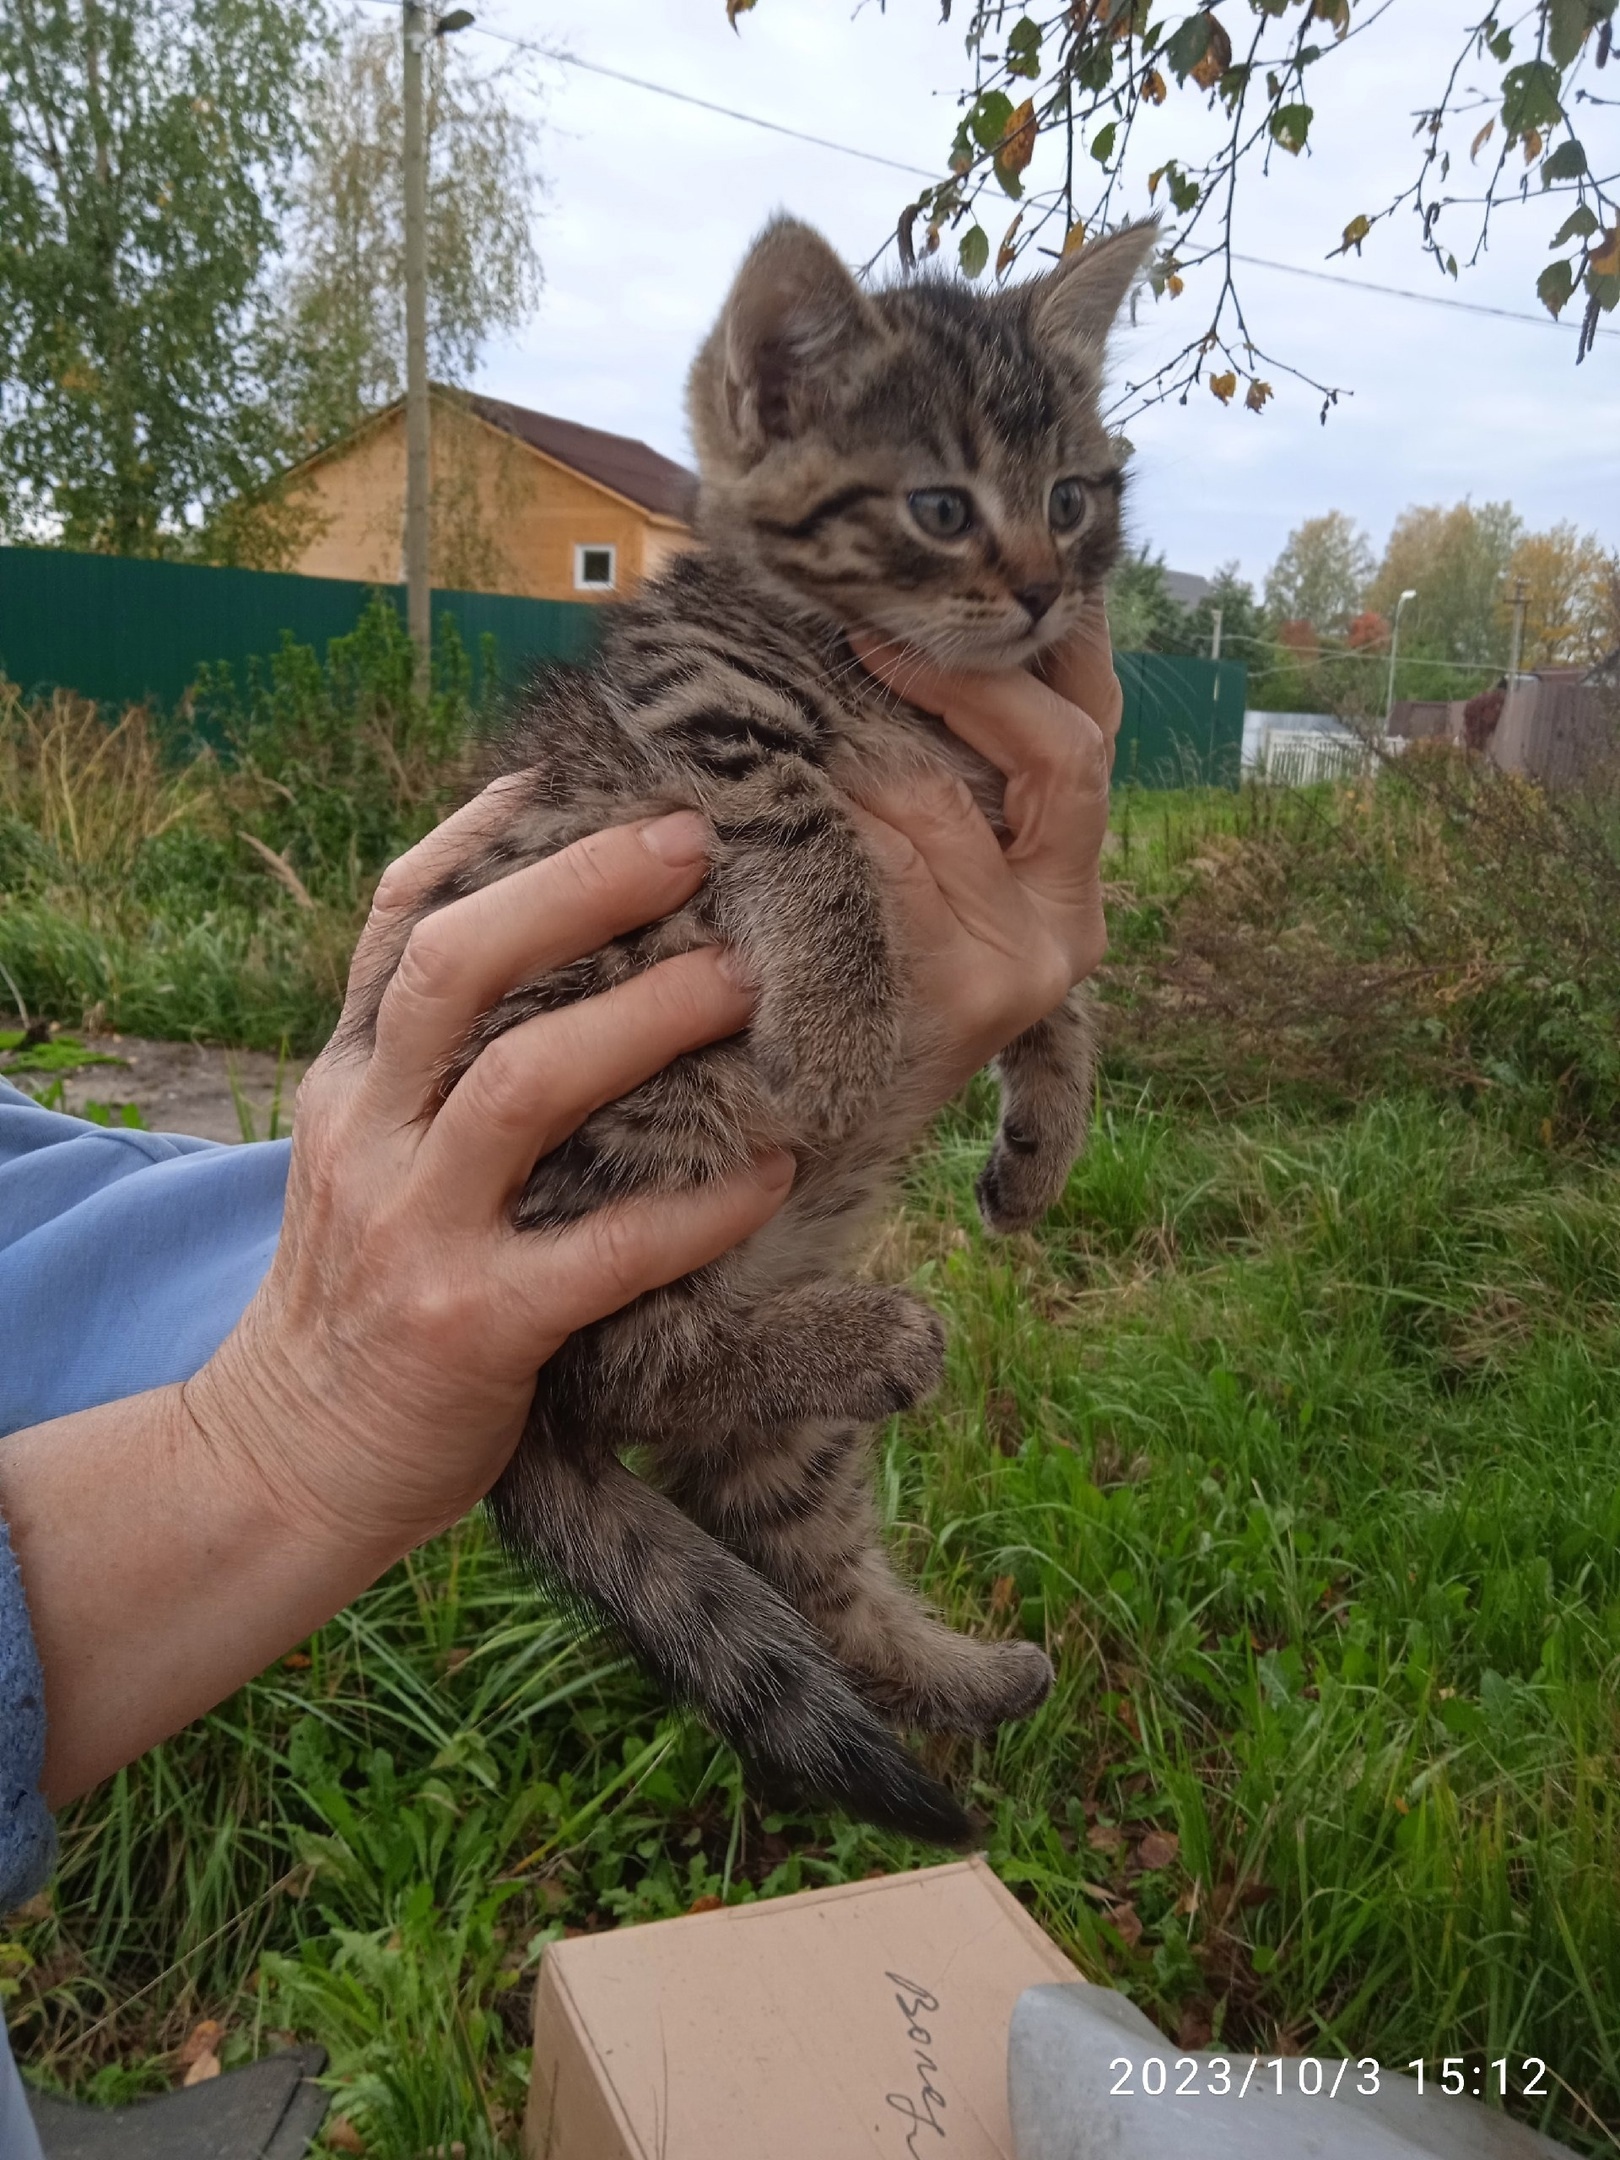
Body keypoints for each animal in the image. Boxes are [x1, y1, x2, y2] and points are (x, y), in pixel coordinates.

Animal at [360, 214, 1157, 1840]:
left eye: (1070, 495)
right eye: (939, 506)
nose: (1048, 589)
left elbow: (1069, 984)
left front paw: (1045, 1138)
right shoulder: (708, 707)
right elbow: (808, 828)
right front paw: (848, 1032)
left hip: (783, 1418)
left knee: (792, 1541)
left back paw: (967, 1670)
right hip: (645, 1100)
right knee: (613, 1367)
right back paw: (882, 1330)